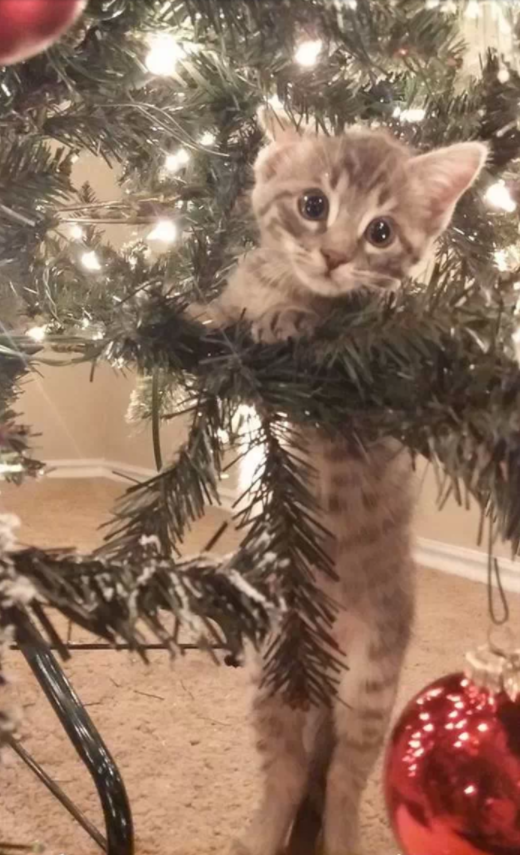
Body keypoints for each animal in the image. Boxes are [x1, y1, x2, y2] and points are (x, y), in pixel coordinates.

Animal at [204, 122, 488, 855]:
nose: (333, 257)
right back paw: (260, 835)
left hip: (371, 685)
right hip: (273, 675)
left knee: (338, 784)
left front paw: (288, 321)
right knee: (286, 771)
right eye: (313, 205)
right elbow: (221, 318)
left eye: (380, 232)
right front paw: (209, 311)